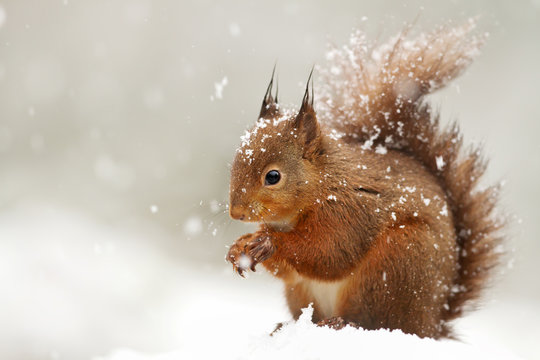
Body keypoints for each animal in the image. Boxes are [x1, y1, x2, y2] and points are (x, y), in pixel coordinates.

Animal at [224, 21, 502, 338]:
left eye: (273, 176)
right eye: (235, 163)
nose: (236, 212)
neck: (324, 182)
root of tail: (431, 323)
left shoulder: (350, 210)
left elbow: (329, 253)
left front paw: (269, 243)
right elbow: (290, 269)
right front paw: (240, 247)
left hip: (395, 265)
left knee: (377, 321)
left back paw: (341, 323)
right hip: (302, 293)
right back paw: (287, 326)